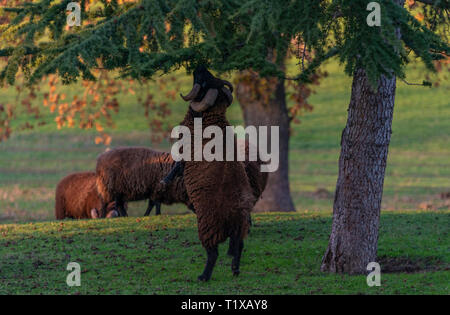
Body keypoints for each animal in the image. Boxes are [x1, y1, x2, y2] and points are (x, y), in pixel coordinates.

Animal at [177, 66, 268, 282]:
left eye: (203, 80)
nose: (199, 66)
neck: (212, 118)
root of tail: (235, 213)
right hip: (240, 228)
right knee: (239, 246)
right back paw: (235, 269)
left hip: (208, 226)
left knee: (213, 253)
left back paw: (204, 276)